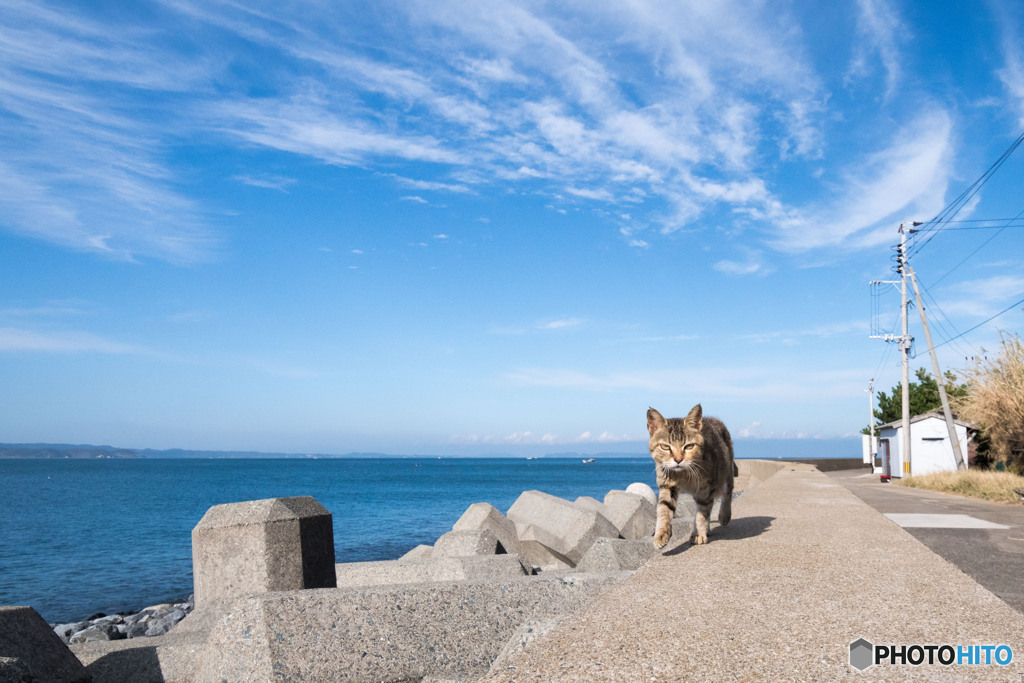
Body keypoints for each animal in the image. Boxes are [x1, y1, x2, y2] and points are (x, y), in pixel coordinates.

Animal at [647, 405, 737, 548]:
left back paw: (724, 516)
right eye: (665, 446)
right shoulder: (667, 484)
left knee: (727, 493)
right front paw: (661, 534)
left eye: (689, 446)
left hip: (727, 472)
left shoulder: (705, 489)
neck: (682, 474)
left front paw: (699, 533)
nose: (678, 459)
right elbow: (664, 509)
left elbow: (702, 513)